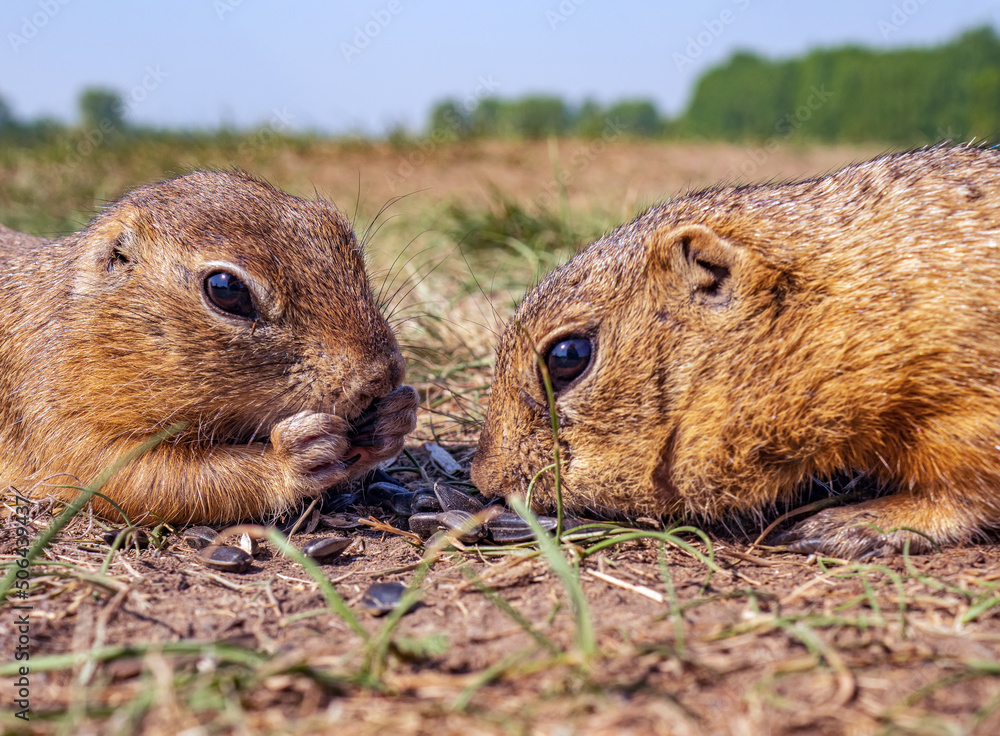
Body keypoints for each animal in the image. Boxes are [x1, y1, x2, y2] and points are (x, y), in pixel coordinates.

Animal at [0, 170, 418, 528]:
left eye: (337, 228)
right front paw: (295, 456)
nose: (384, 374)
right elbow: (139, 479)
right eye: (226, 289)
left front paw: (397, 414)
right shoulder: (59, 418)